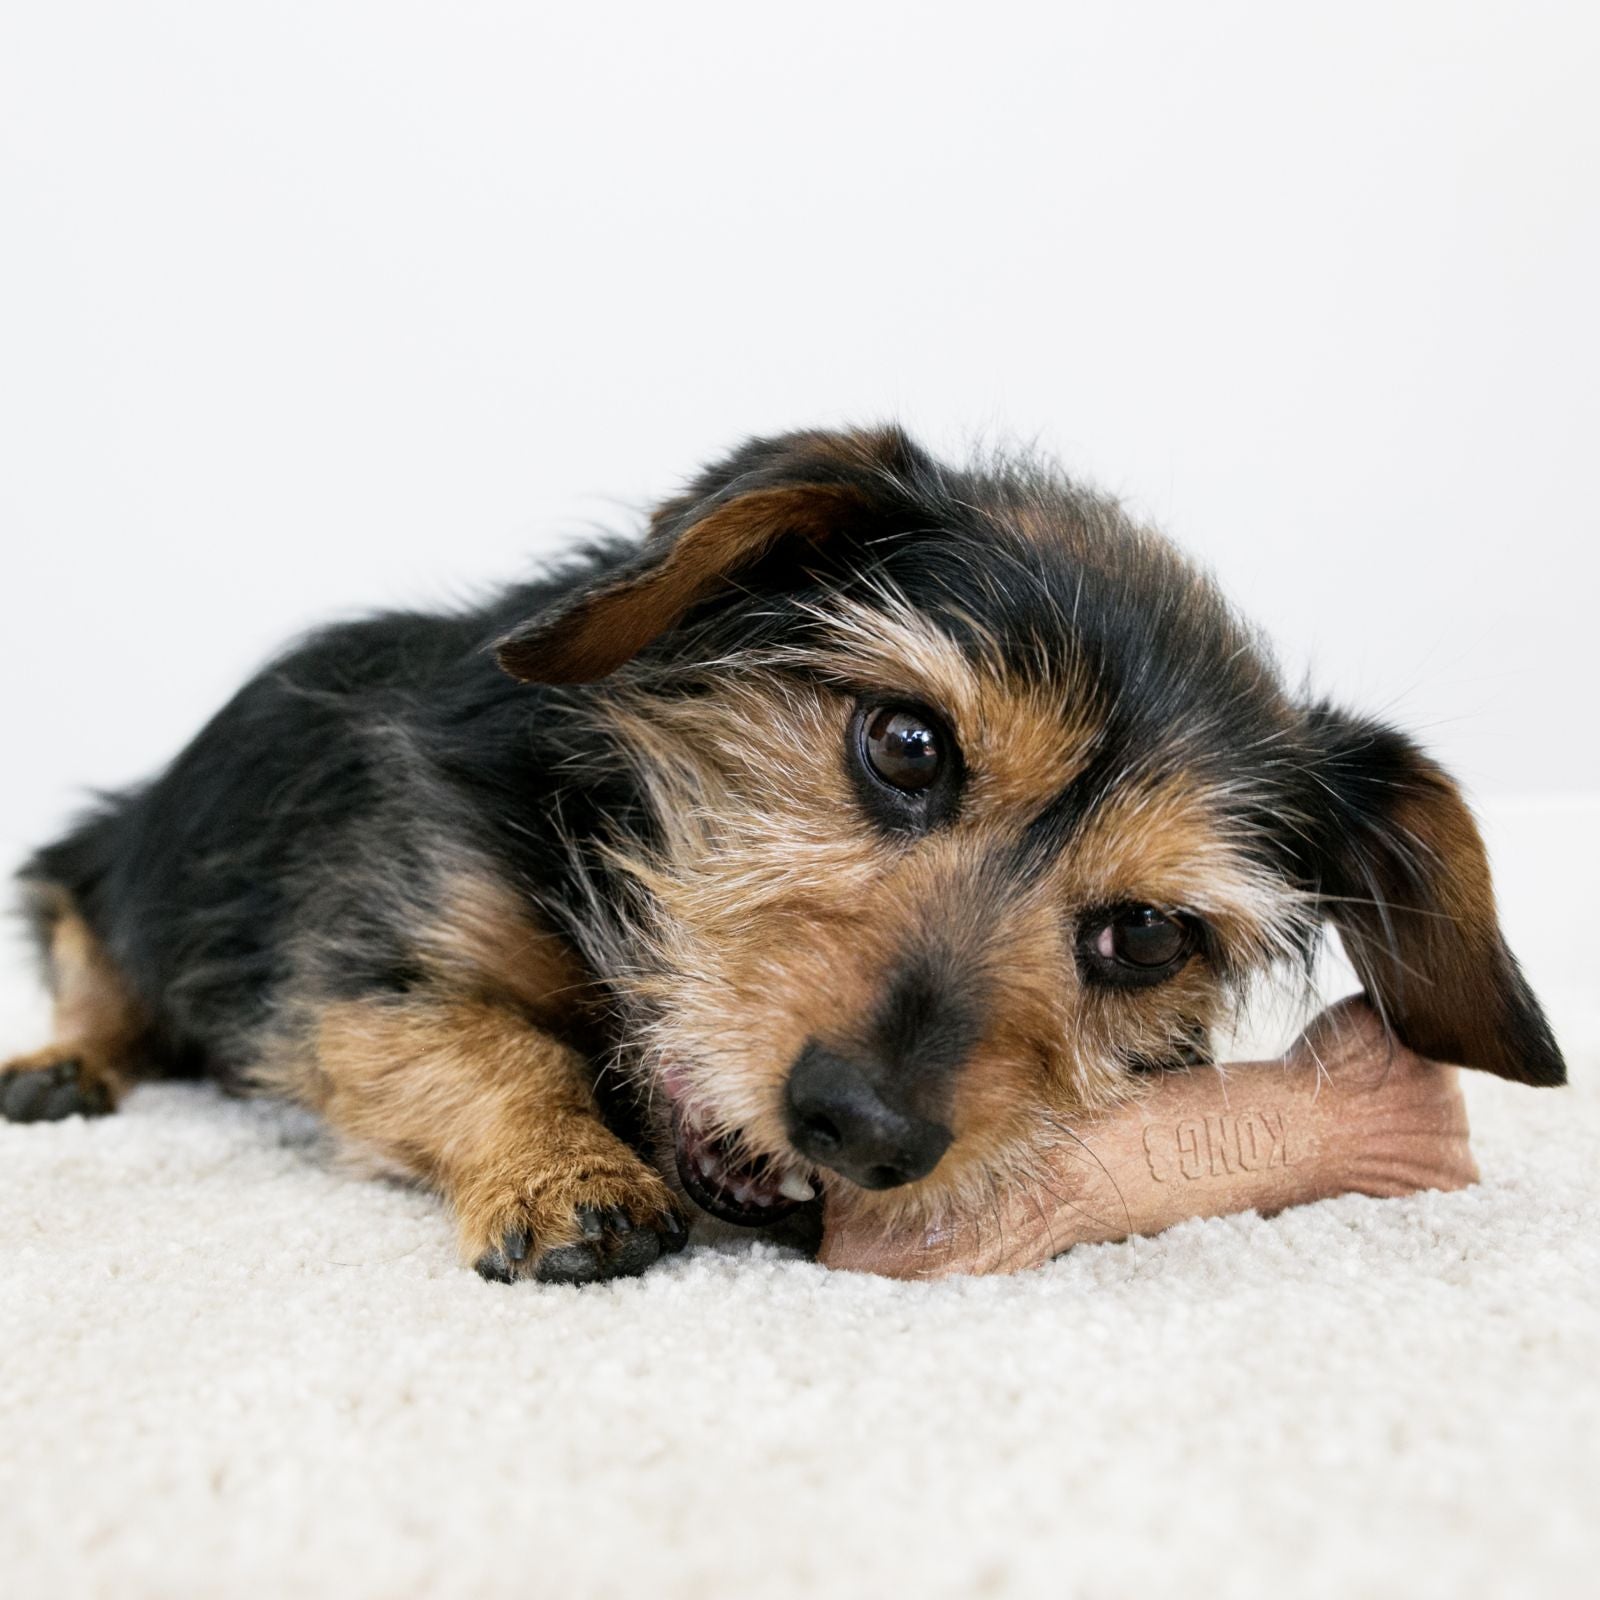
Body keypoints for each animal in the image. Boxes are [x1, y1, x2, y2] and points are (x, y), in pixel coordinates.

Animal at [0, 422, 1561, 1273]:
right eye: (908, 744)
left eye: (1140, 935)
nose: (863, 1128)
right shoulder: (352, 978)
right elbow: (491, 1046)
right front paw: (562, 1173)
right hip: (102, 861)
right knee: (90, 959)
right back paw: (63, 1064)